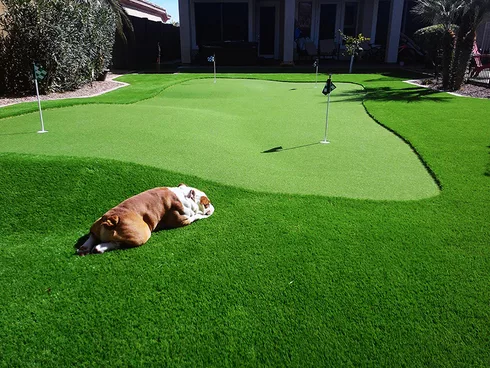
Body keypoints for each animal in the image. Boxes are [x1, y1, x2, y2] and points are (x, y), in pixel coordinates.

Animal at [77, 184, 213, 256]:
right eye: (206, 204)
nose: (212, 207)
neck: (183, 195)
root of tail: (113, 219)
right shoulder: (181, 220)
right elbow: (194, 216)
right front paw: (201, 215)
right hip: (143, 232)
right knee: (117, 243)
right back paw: (99, 248)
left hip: (98, 222)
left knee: (93, 235)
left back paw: (85, 247)